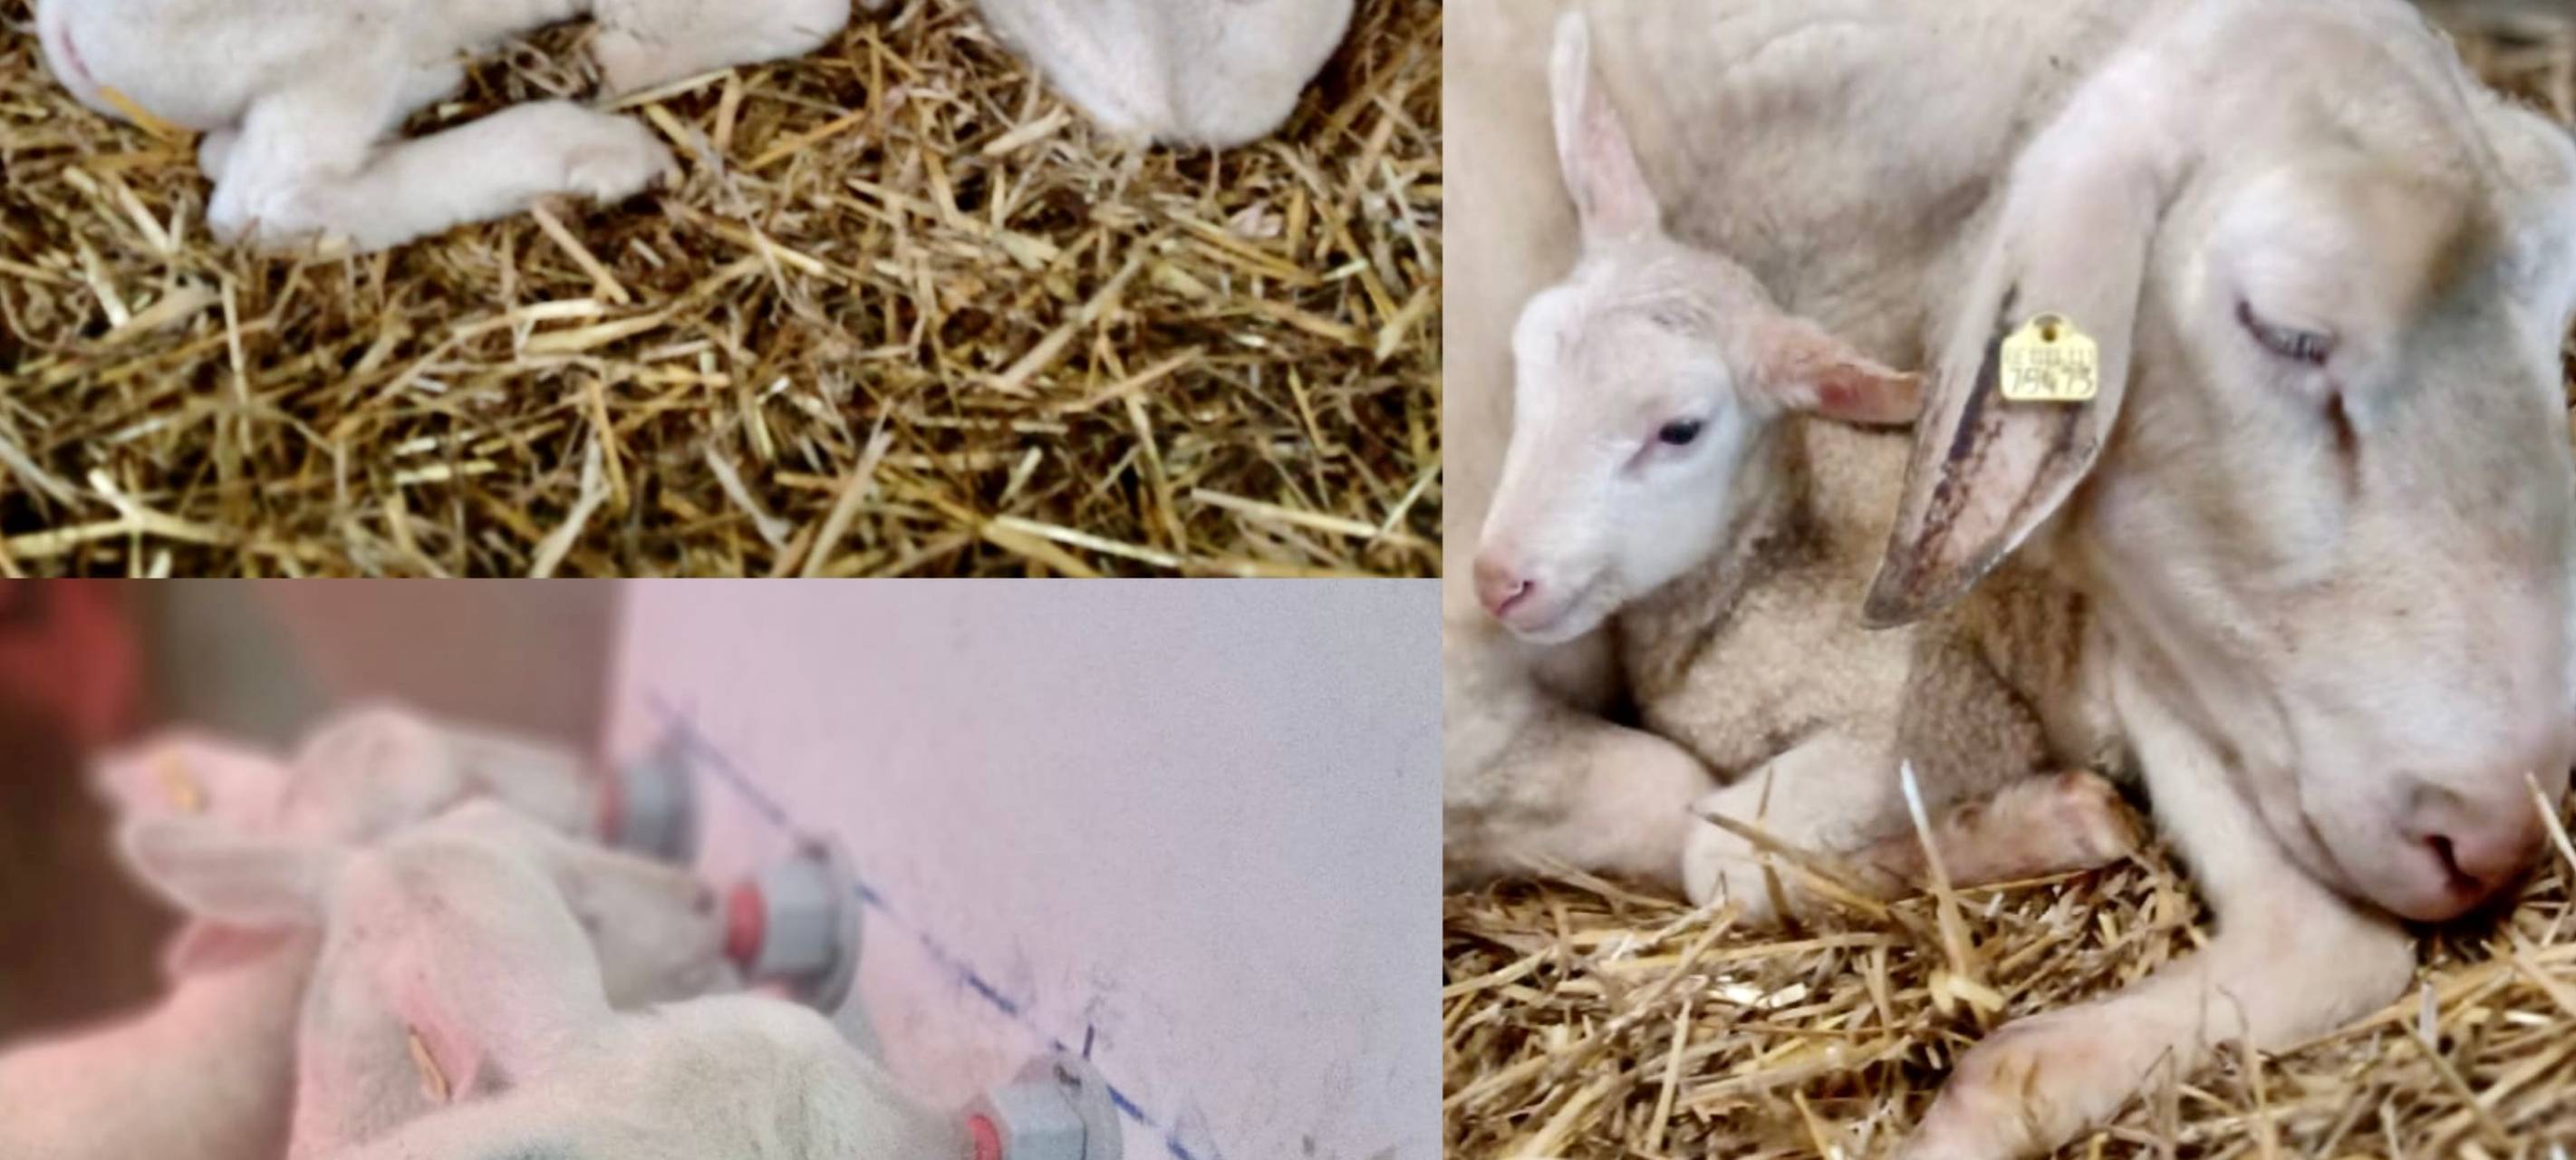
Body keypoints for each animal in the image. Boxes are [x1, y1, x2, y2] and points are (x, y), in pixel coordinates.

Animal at [1446, 0, 2576, 1154]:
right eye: (2288, 330)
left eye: (1678, 428)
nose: (2494, 828)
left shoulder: (1911, 716)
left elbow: (1717, 841)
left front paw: (2014, 827)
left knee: (2319, 940)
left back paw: (1996, 1084)